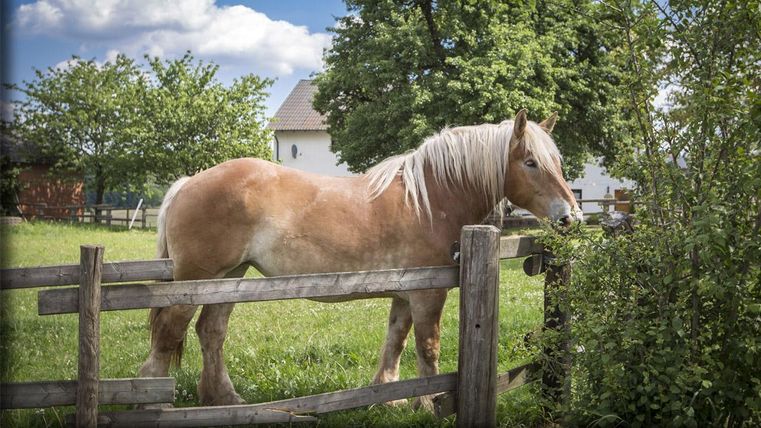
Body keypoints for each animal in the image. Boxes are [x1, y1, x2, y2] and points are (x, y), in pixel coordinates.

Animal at [137, 110, 583, 410]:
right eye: (531, 162)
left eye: (557, 162)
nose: (571, 217)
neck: (430, 198)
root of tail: (188, 183)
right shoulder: (429, 294)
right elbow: (428, 347)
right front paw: (433, 402)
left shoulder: (406, 293)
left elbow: (396, 340)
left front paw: (392, 397)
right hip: (195, 282)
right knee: (168, 334)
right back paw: (155, 400)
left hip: (229, 278)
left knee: (211, 332)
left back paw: (224, 399)